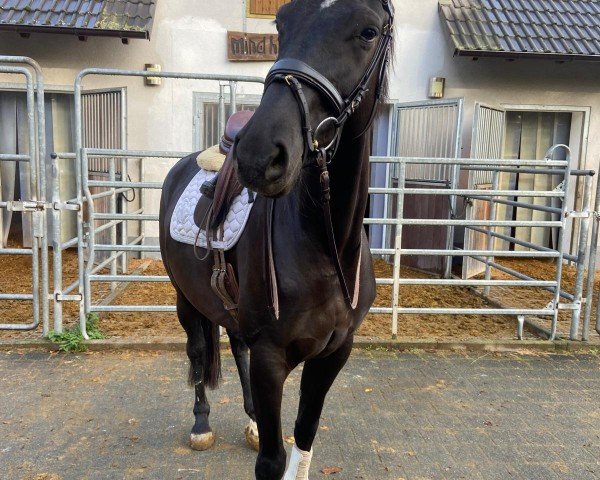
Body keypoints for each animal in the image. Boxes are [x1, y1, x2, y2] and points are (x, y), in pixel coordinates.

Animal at [159, 1, 394, 478]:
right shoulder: (272, 358)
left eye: (368, 31)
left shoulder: (334, 353)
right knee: (198, 353)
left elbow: (304, 435)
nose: (258, 154)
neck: (328, 250)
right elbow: (271, 460)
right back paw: (201, 425)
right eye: (282, 25)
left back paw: (250, 419)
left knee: (235, 346)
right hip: (186, 300)